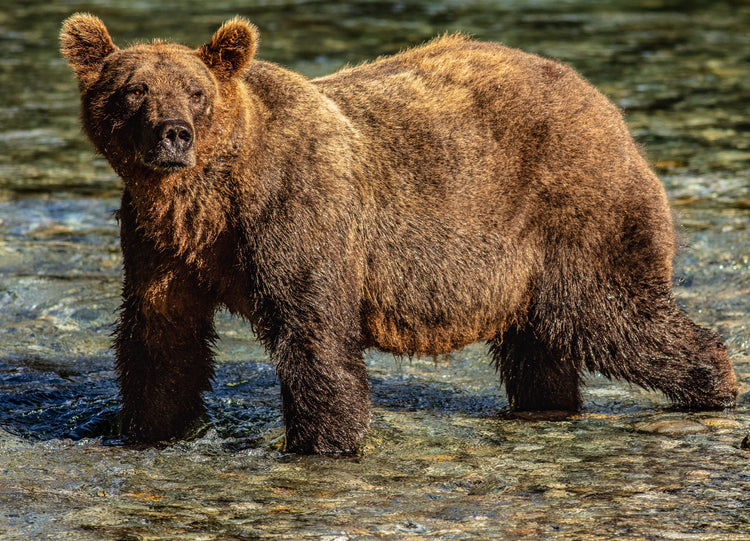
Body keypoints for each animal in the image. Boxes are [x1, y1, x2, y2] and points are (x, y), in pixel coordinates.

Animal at [60, 14, 737, 455]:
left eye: (196, 92)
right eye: (134, 90)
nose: (173, 133)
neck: (207, 198)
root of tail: (604, 104)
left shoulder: (295, 214)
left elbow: (314, 335)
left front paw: (323, 441)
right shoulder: (161, 245)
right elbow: (161, 339)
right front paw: (148, 428)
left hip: (573, 213)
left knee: (616, 320)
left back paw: (715, 384)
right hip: (525, 267)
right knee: (539, 349)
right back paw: (547, 407)